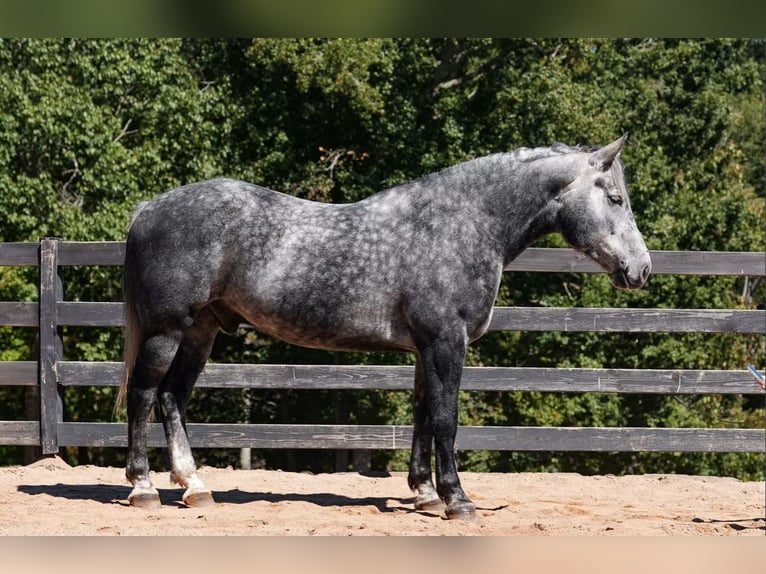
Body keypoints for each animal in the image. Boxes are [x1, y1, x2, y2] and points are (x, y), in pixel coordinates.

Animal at [117, 134, 651, 519]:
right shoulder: (446, 342)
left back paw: (195, 487)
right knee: (144, 394)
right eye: (616, 198)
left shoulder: (426, 348)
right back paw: (143, 488)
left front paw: (425, 493)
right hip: (167, 331)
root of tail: (147, 209)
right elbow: (446, 419)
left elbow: (421, 414)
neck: (465, 224)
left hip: (201, 332)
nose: (642, 269)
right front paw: (457, 500)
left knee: (173, 397)